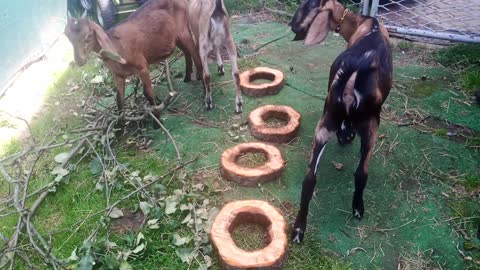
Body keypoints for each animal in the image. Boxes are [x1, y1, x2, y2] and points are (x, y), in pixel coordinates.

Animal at [62, 0, 202, 120]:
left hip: (184, 30)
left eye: (88, 36)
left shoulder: (142, 67)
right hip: (176, 37)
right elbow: (119, 100)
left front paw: (157, 119)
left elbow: (148, 93)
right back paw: (187, 77)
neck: (117, 47)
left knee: (194, 51)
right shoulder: (118, 75)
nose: (79, 60)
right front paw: (120, 129)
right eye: (68, 36)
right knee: (187, 52)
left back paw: (199, 79)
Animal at [288, 0, 394, 244]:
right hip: (371, 124)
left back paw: (298, 230)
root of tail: (355, 72)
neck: (365, 23)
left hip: (324, 123)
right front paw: (346, 136)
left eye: (307, 6)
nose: (293, 26)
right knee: (361, 172)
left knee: (309, 179)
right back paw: (358, 208)